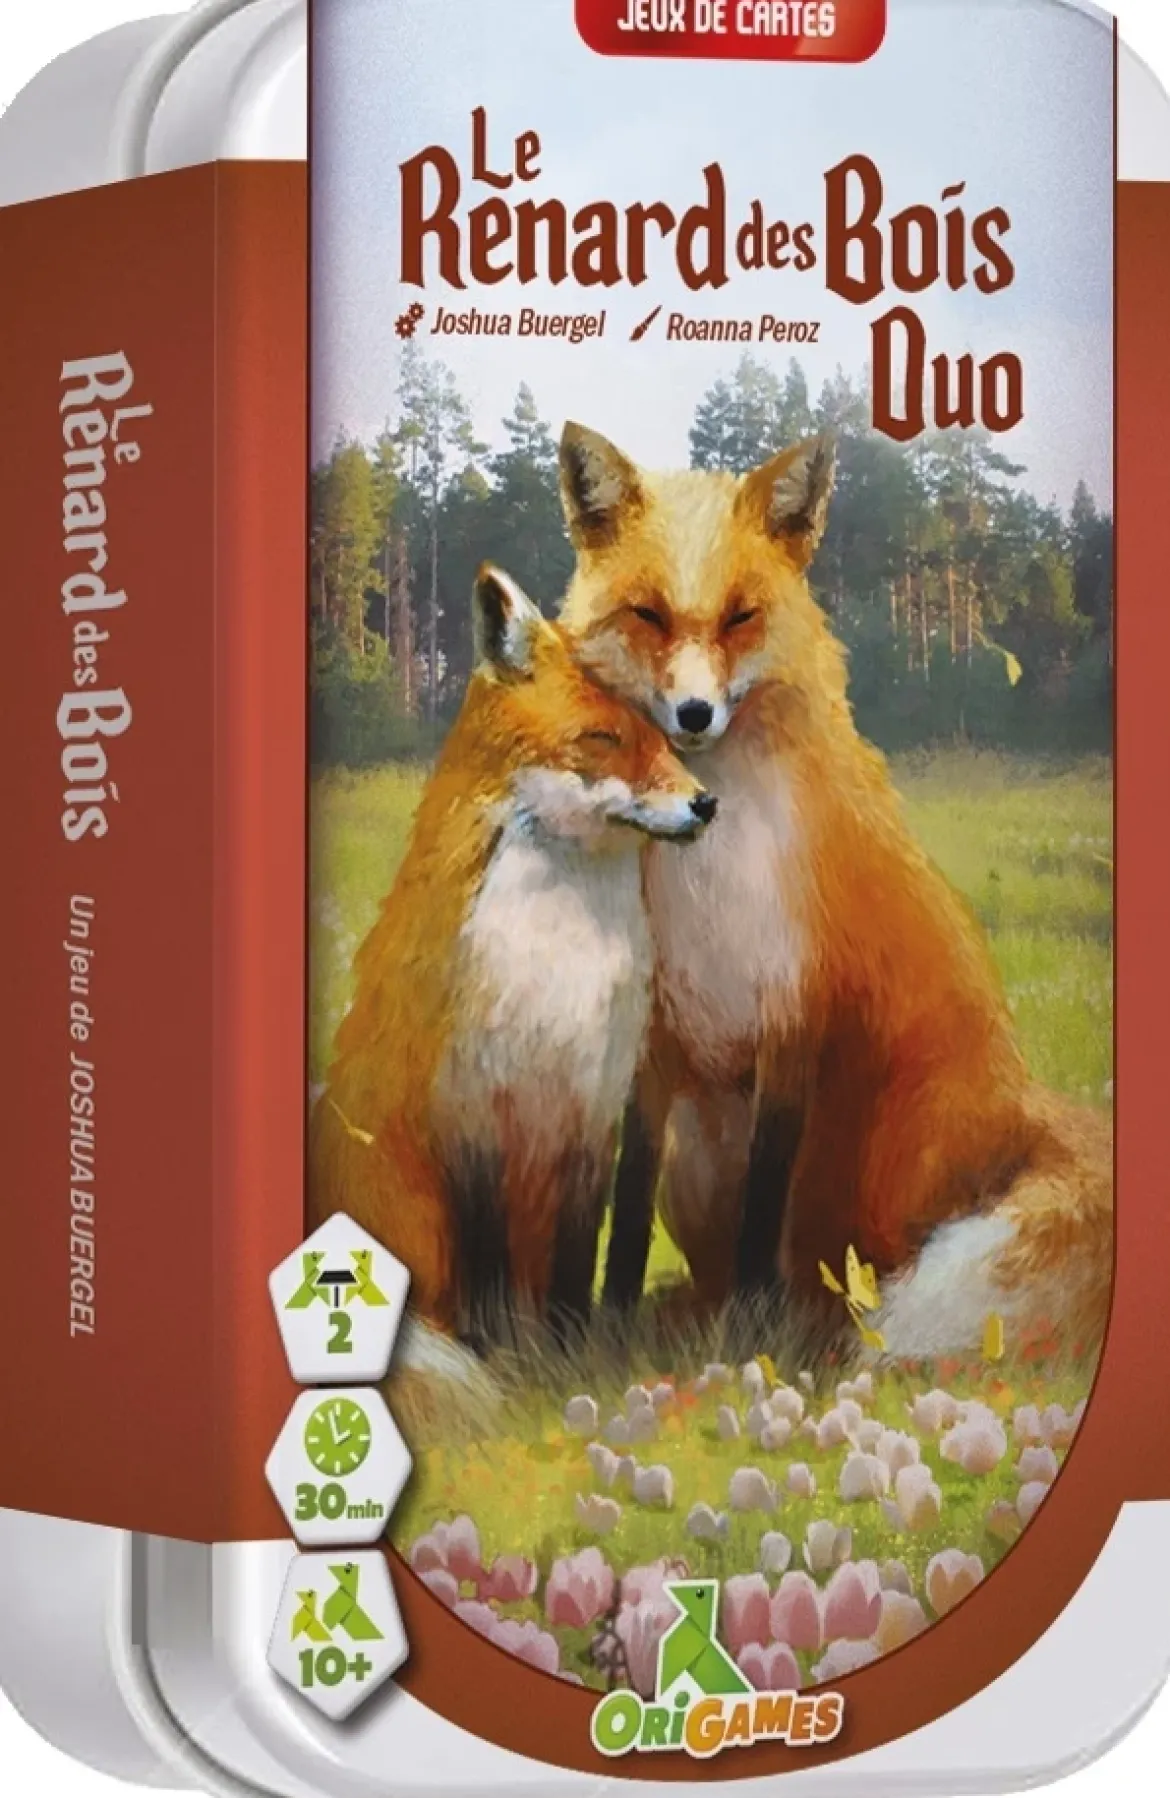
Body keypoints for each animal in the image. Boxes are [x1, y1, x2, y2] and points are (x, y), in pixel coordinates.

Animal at [309, 563, 716, 1348]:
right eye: (602, 738)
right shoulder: (469, 1107)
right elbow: (486, 1259)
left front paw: (568, 1347)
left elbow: (576, 1254)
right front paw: (494, 1348)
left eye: (663, 737)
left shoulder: (592, 1107)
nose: (706, 804)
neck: (556, 965)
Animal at [557, 422, 1113, 1357]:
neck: (708, 878)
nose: (695, 716)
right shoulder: (655, 1042)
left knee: (848, 1271)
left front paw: (746, 1335)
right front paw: (602, 1328)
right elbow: (626, 1210)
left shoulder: (792, 1022)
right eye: (649, 615)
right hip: (700, 1150)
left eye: (741, 617)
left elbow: (763, 1209)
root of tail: (1021, 1105)